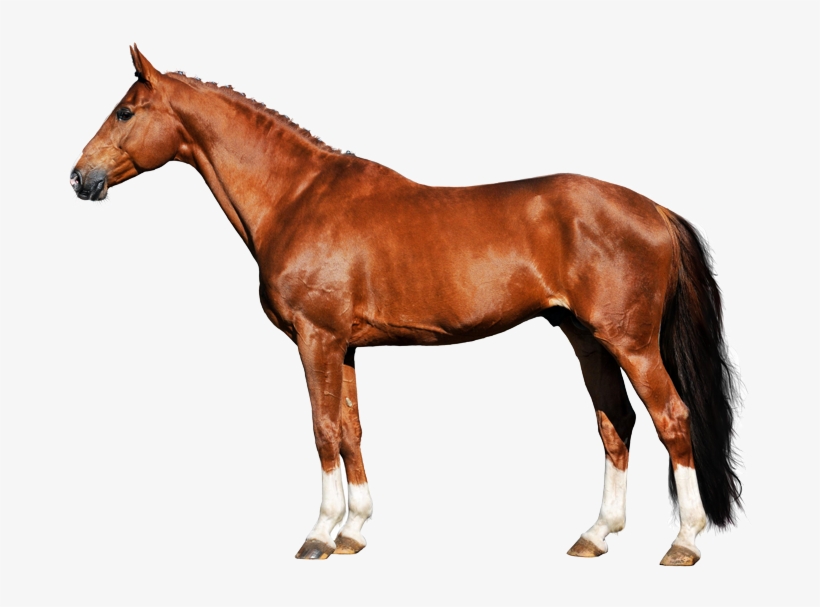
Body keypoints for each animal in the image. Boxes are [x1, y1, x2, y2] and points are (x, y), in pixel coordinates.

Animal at [70, 45, 741, 565]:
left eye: (125, 110)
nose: (80, 177)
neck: (298, 197)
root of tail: (654, 209)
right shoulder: (342, 345)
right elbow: (351, 429)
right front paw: (354, 531)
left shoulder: (316, 338)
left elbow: (322, 429)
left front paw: (319, 534)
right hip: (586, 338)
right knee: (615, 423)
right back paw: (595, 536)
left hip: (629, 342)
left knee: (670, 418)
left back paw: (684, 542)